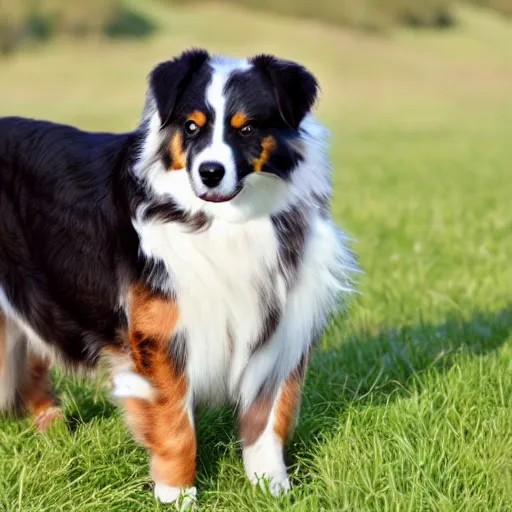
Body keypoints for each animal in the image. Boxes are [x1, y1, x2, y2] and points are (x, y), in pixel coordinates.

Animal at [0, 50, 356, 506]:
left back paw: (55, 427)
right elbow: (175, 426)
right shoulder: (161, 334)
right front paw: (177, 495)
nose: (209, 172)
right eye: (191, 126)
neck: (227, 221)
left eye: (248, 128)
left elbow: (269, 419)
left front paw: (271, 491)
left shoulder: (282, 323)